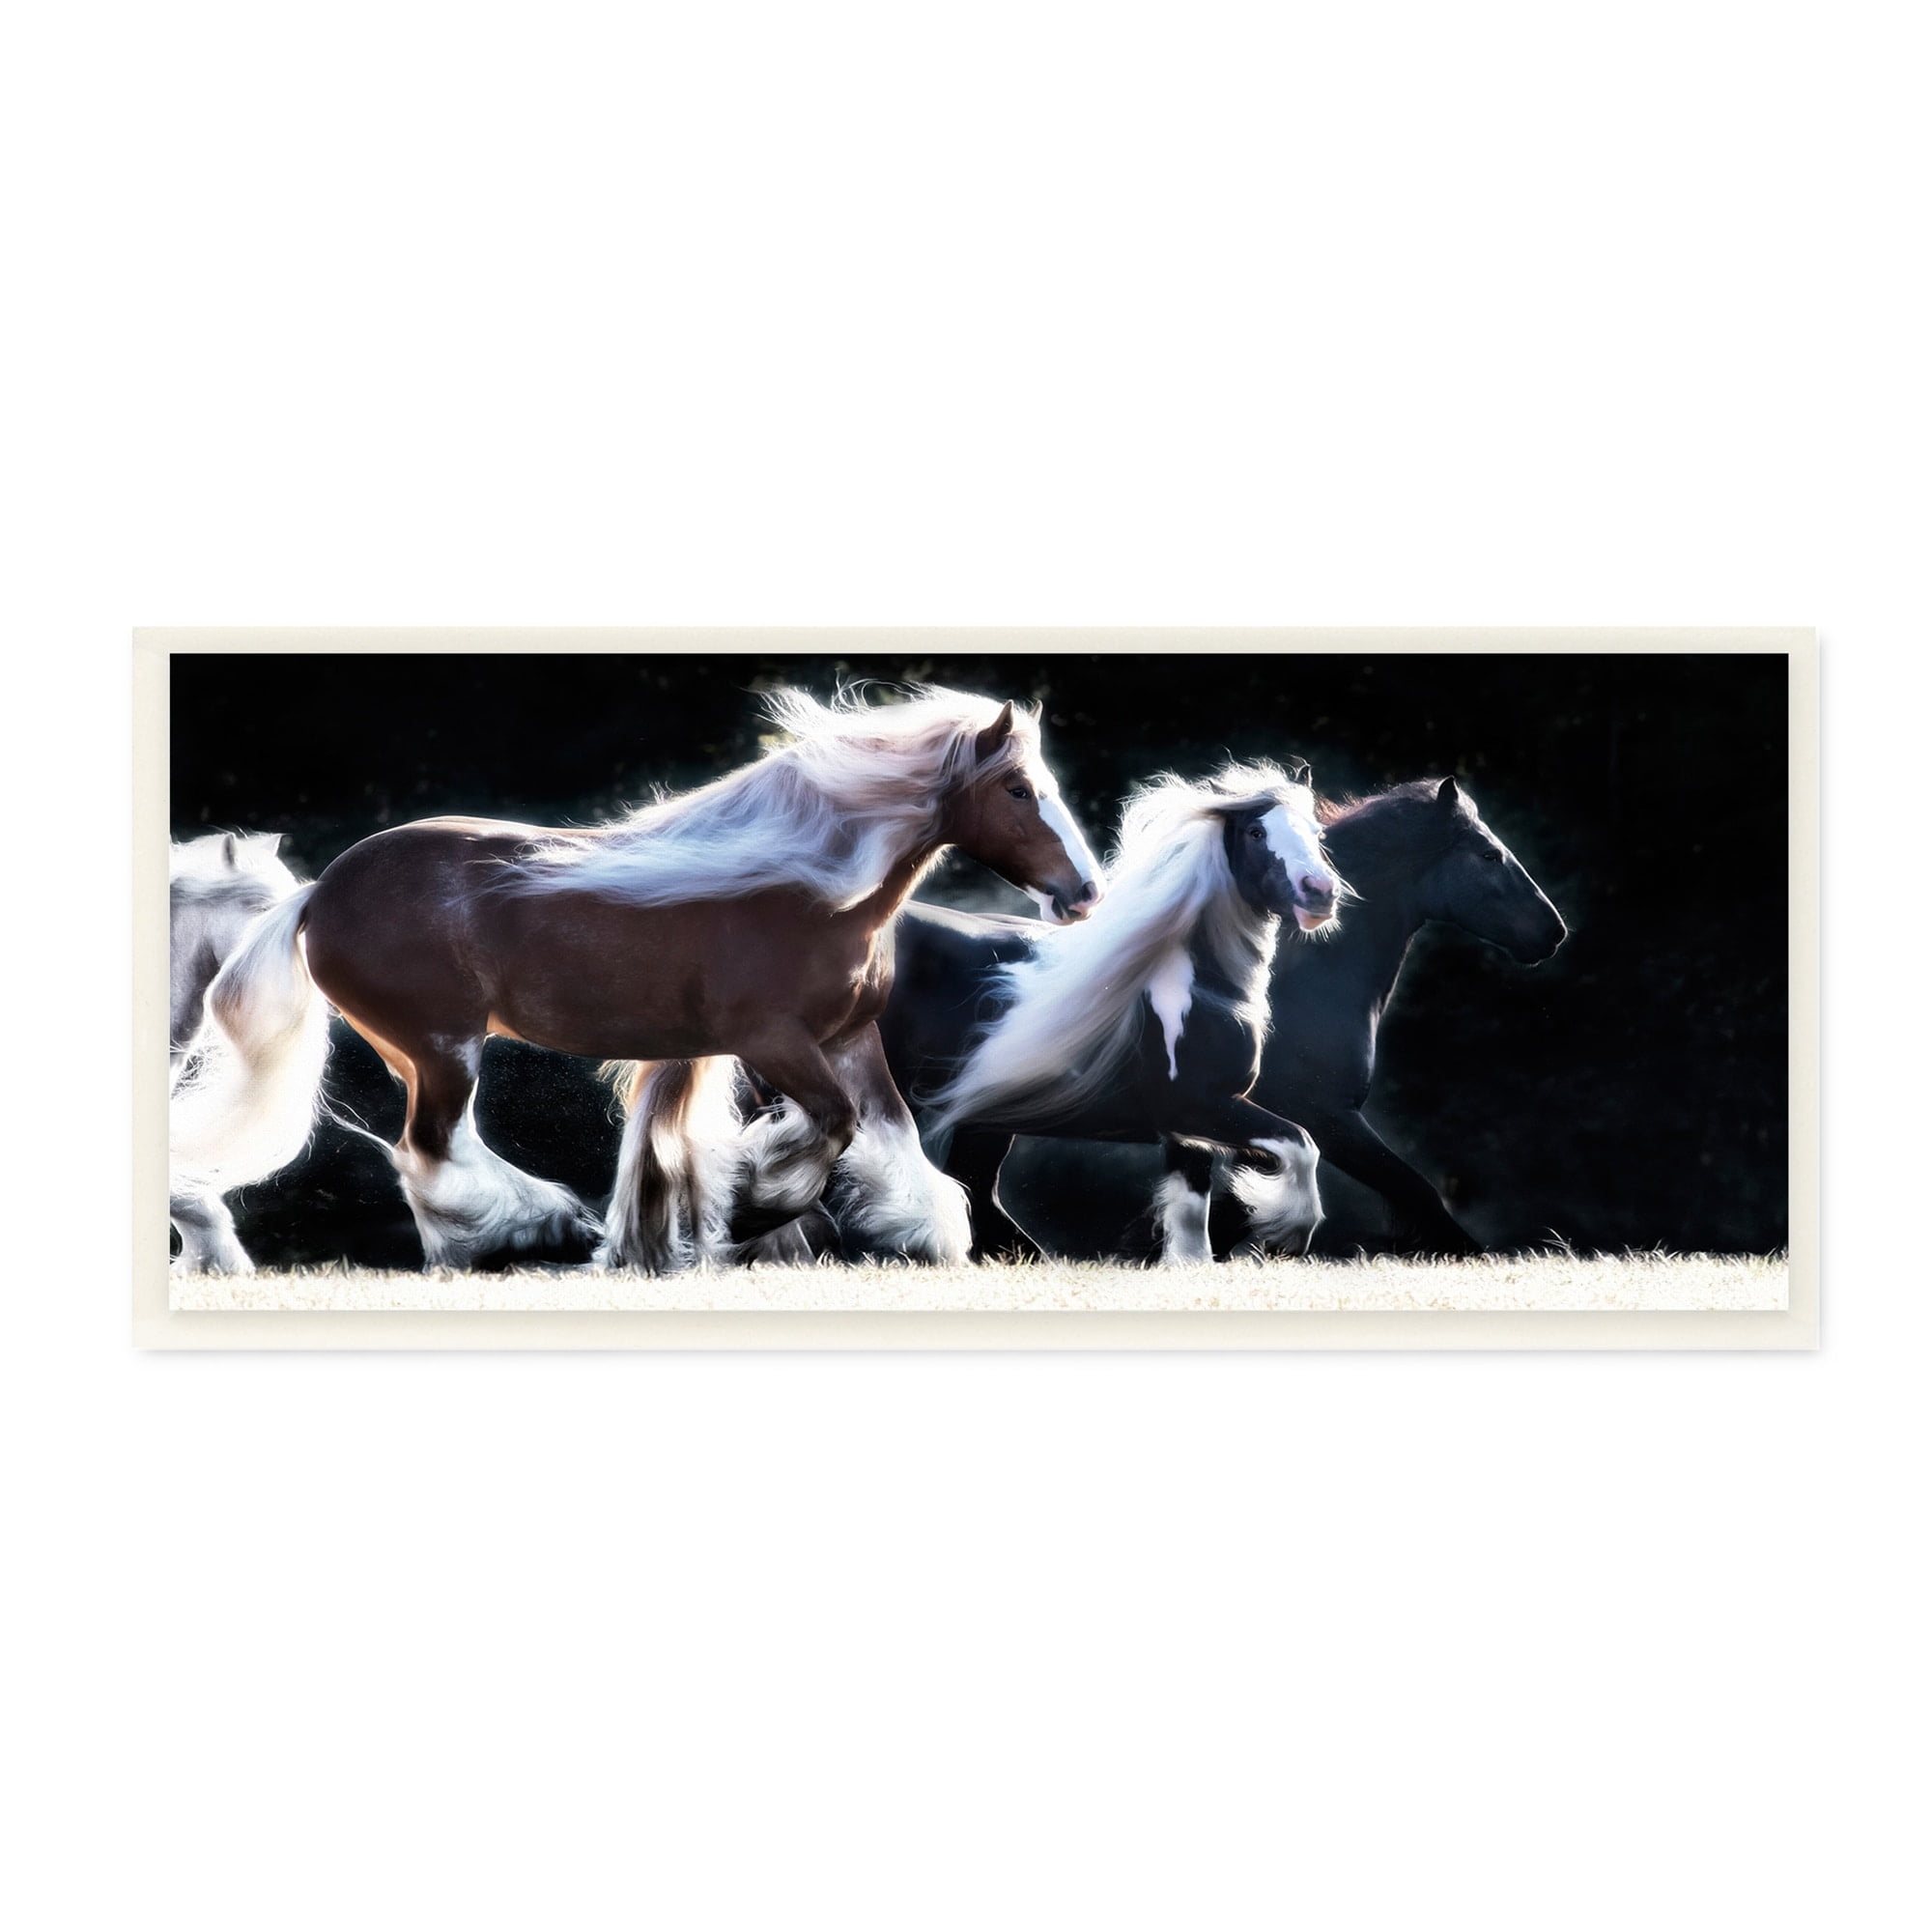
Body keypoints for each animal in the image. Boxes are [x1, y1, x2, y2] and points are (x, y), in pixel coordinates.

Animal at [824, 759, 1342, 1263]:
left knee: (974, 1190)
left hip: (986, 1115)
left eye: (1317, 834)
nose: (1319, 891)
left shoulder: (1191, 1129)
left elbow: (1195, 1216)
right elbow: (1301, 1145)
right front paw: (1287, 1235)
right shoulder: (1197, 1107)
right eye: (1256, 833)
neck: (1199, 987)